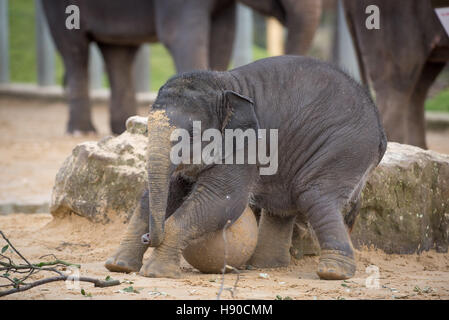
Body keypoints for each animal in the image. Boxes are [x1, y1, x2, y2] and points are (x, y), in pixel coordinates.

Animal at [43, 0, 322, 135]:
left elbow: (224, 36)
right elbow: (182, 35)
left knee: (119, 52)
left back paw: (119, 127)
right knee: (74, 48)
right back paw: (80, 132)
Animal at [104, 55, 384, 280]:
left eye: (190, 134)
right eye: (147, 130)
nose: (149, 237)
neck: (221, 83)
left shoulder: (246, 144)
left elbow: (222, 198)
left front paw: (155, 273)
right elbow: (165, 192)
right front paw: (118, 267)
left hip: (344, 149)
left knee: (314, 197)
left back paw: (333, 272)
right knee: (282, 208)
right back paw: (264, 266)